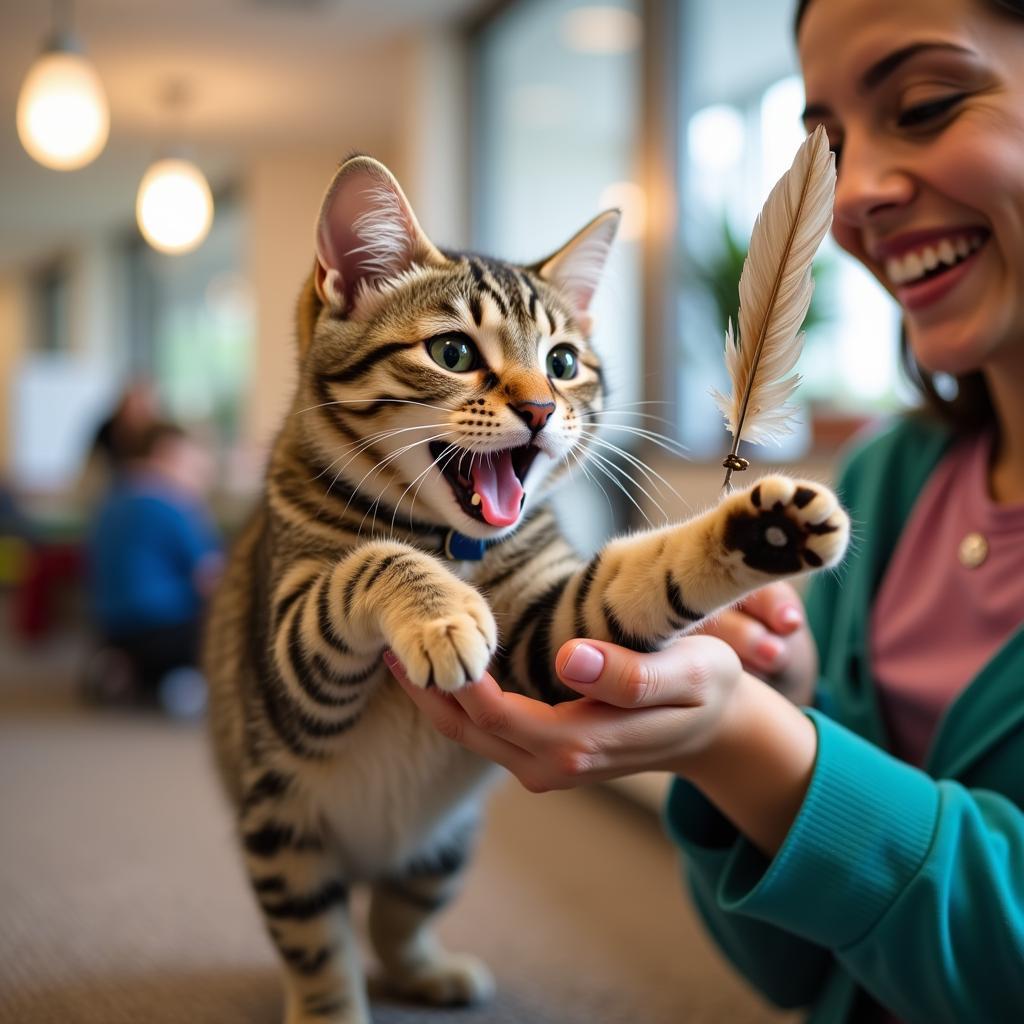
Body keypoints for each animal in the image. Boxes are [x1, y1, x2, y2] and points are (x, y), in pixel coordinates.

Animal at [205, 153, 847, 1024]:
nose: (541, 410)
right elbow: (368, 564)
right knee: (322, 953)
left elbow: (638, 578)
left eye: (563, 364)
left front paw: (760, 529)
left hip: (441, 850)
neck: (452, 544)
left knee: (392, 921)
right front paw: (440, 615)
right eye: (451, 351)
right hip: (285, 844)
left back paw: (429, 970)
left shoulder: (551, 628)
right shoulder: (289, 659)